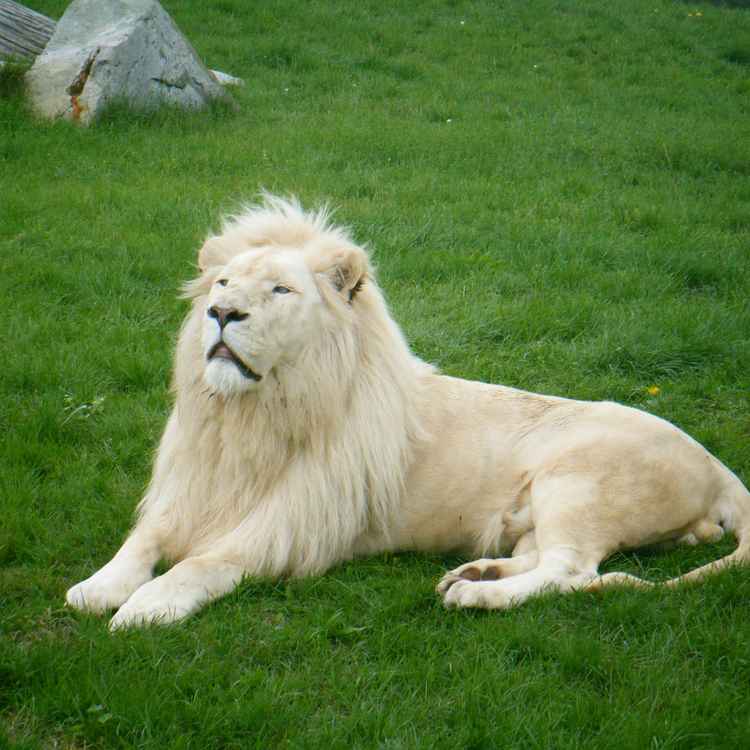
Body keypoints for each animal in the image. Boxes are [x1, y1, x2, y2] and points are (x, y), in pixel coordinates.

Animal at [66, 196, 750, 628]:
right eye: (222, 284)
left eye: (281, 289)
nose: (222, 314)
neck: (247, 417)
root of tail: (719, 468)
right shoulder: (187, 488)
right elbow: (142, 540)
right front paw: (97, 588)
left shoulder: (297, 519)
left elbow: (205, 560)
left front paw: (147, 606)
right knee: (541, 559)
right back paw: (472, 572)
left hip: (578, 481)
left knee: (569, 573)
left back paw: (475, 598)